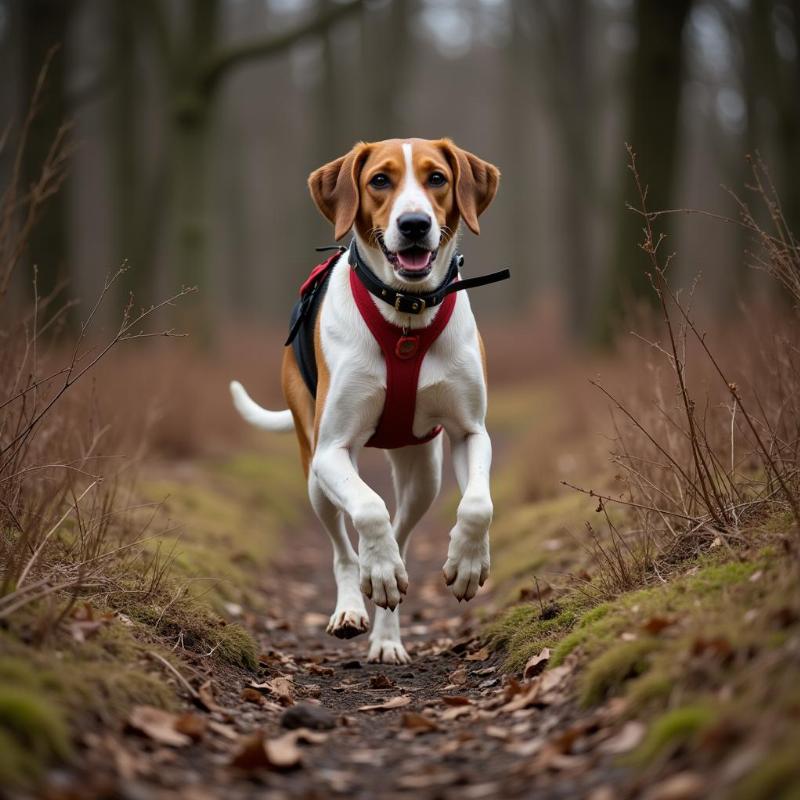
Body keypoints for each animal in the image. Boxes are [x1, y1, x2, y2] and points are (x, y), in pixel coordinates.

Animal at [228, 138, 500, 664]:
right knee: (344, 547)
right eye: (379, 180)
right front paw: (375, 576)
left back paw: (387, 635)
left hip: (423, 475)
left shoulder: (469, 432)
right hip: (315, 474)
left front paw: (467, 563)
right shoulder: (332, 450)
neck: (407, 315)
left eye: (437, 178)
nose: (413, 224)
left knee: (401, 534)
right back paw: (354, 606)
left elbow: (478, 503)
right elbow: (370, 510)